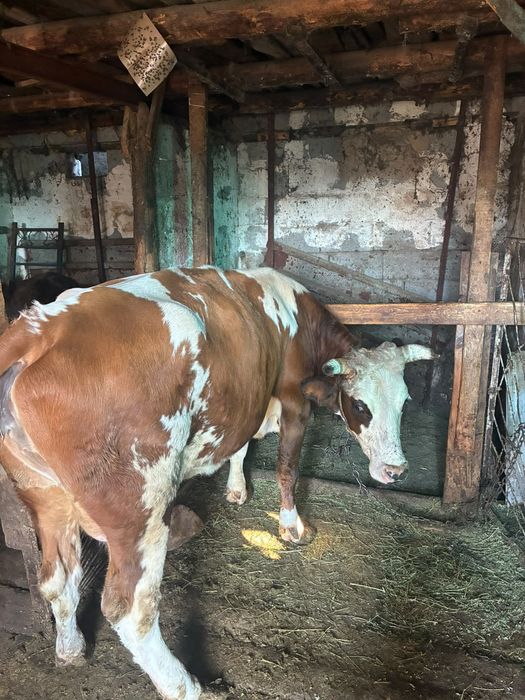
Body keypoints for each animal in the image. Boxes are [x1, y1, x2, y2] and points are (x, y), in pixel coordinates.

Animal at [0, 266, 434, 700]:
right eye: (361, 405)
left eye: (405, 402)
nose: (396, 470)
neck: (295, 317)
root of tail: (42, 329)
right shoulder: (294, 403)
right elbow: (288, 467)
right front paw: (291, 526)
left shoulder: (247, 399)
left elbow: (240, 447)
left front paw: (237, 489)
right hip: (140, 503)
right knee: (131, 609)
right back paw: (187, 686)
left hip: (42, 494)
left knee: (56, 579)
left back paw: (71, 649)